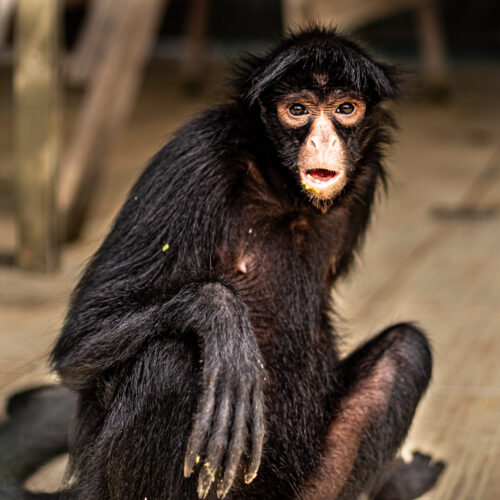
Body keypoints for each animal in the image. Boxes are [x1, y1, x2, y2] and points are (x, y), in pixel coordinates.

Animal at [0, 28, 446, 500]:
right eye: (298, 110)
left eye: (345, 109)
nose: (324, 140)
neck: (283, 195)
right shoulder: (197, 155)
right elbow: (79, 343)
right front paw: (223, 318)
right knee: (170, 360)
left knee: (407, 348)